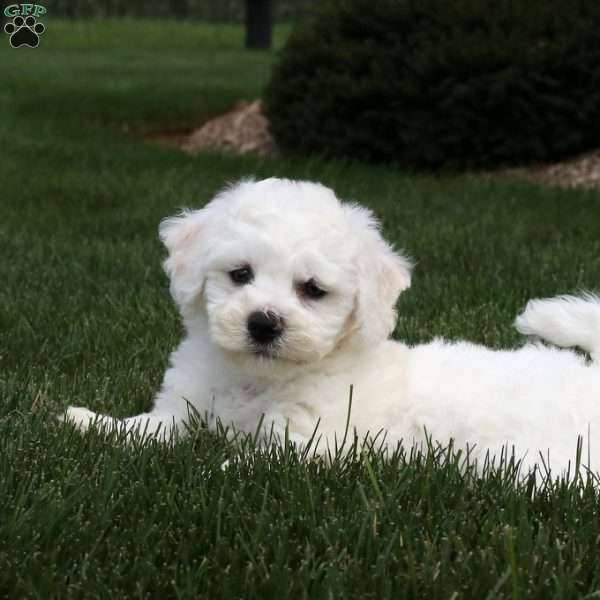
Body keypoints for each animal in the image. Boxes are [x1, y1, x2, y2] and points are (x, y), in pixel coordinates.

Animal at [68, 176, 600, 476]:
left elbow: (257, 463)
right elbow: (149, 427)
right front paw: (91, 422)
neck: (258, 379)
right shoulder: (187, 406)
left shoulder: (314, 439)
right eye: (240, 274)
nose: (263, 324)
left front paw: (211, 470)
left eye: (312, 289)